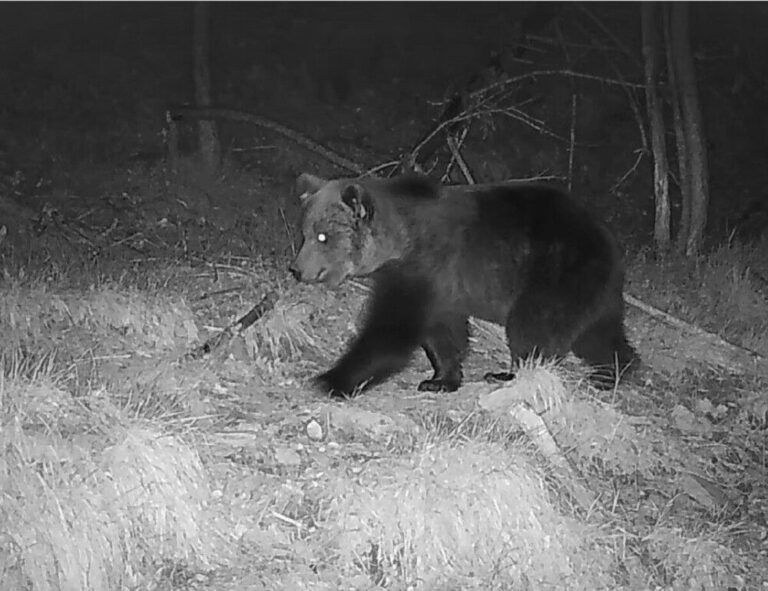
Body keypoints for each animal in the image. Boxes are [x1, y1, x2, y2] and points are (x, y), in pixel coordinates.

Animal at [289, 172, 638, 397]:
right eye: (305, 233)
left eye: (323, 236)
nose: (296, 269)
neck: (401, 243)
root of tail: (609, 243)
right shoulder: (442, 285)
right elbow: (443, 333)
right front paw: (440, 379)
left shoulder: (427, 266)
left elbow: (392, 330)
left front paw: (332, 379)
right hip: (594, 292)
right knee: (599, 335)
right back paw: (614, 372)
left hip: (553, 274)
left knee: (532, 327)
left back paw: (510, 374)